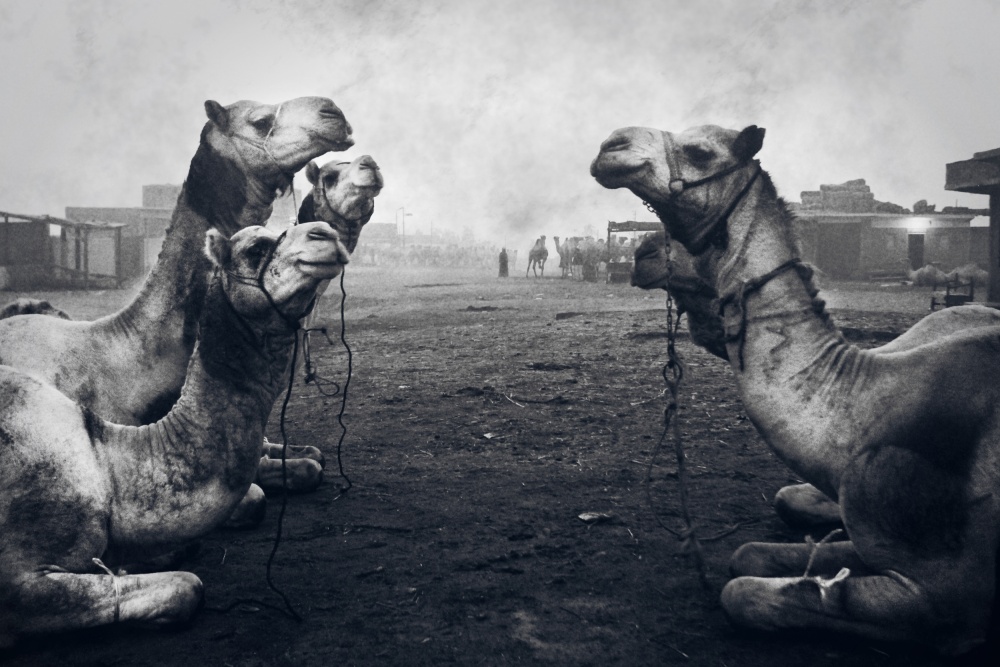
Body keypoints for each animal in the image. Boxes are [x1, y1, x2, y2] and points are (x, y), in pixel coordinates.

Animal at [592, 122, 1000, 654]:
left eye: (700, 151)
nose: (610, 146)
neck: (866, 398)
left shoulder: (944, 595)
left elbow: (743, 593)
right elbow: (749, 554)